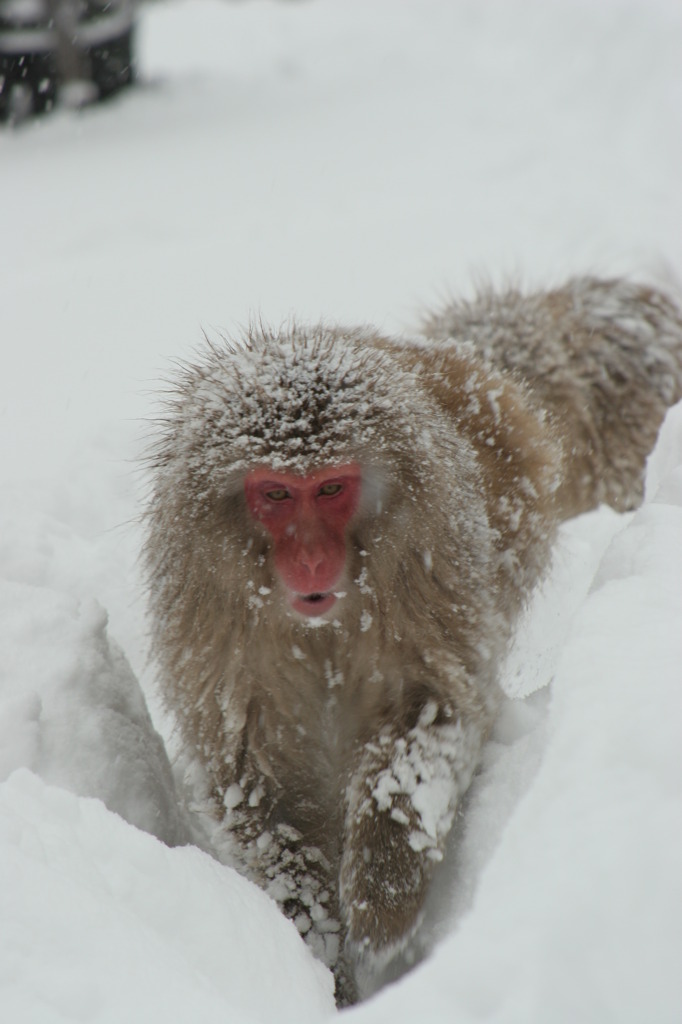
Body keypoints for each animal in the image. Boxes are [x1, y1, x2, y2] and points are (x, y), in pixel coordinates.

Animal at [144, 276, 679, 1003]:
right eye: (277, 494)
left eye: (331, 488)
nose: (310, 559)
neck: (324, 628)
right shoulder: (215, 620)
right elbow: (257, 777)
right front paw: (316, 948)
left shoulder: (431, 572)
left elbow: (434, 714)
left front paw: (383, 897)